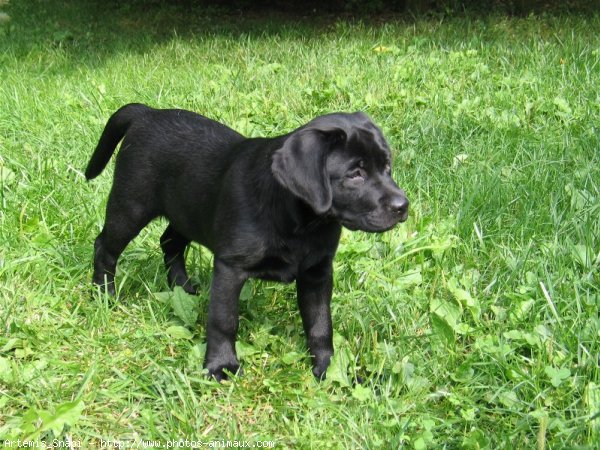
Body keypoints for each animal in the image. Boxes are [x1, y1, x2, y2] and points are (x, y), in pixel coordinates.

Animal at [85, 104, 408, 380]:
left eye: (387, 166)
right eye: (355, 174)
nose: (403, 206)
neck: (302, 222)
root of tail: (146, 112)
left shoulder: (317, 272)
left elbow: (320, 324)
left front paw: (329, 368)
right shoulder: (231, 267)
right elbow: (223, 320)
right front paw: (221, 366)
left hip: (188, 210)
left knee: (169, 242)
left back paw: (182, 287)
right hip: (131, 206)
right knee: (105, 246)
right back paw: (104, 294)